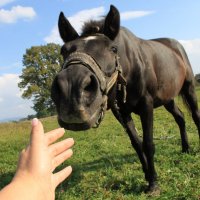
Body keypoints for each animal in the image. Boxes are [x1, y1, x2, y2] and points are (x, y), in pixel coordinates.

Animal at [51, 5, 200, 192]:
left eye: (113, 49)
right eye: (64, 50)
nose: (72, 90)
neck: (130, 67)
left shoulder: (146, 106)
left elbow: (148, 144)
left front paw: (153, 184)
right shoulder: (121, 112)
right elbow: (136, 143)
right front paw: (148, 175)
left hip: (189, 89)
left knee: (195, 116)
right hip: (168, 99)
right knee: (180, 118)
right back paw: (186, 148)